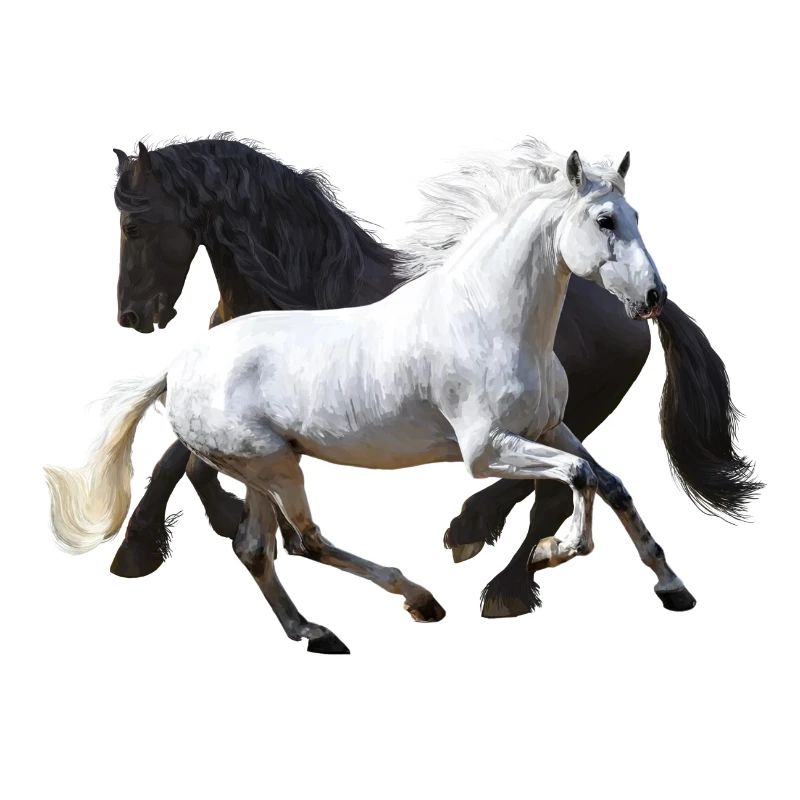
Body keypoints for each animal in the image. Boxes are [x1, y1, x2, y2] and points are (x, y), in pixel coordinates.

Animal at [47, 143, 745, 653]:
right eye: (605, 220)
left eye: (636, 218)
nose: (651, 297)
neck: (490, 316)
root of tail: (176, 369)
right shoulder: (486, 451)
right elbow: (580, 479)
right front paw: (558, 554)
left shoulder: (551, 429)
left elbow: (610, 482)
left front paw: (673, 586)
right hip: (273, 464)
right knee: (300, 541)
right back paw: (421, 599)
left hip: (263, 467)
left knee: (258, 546)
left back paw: (319, 629)